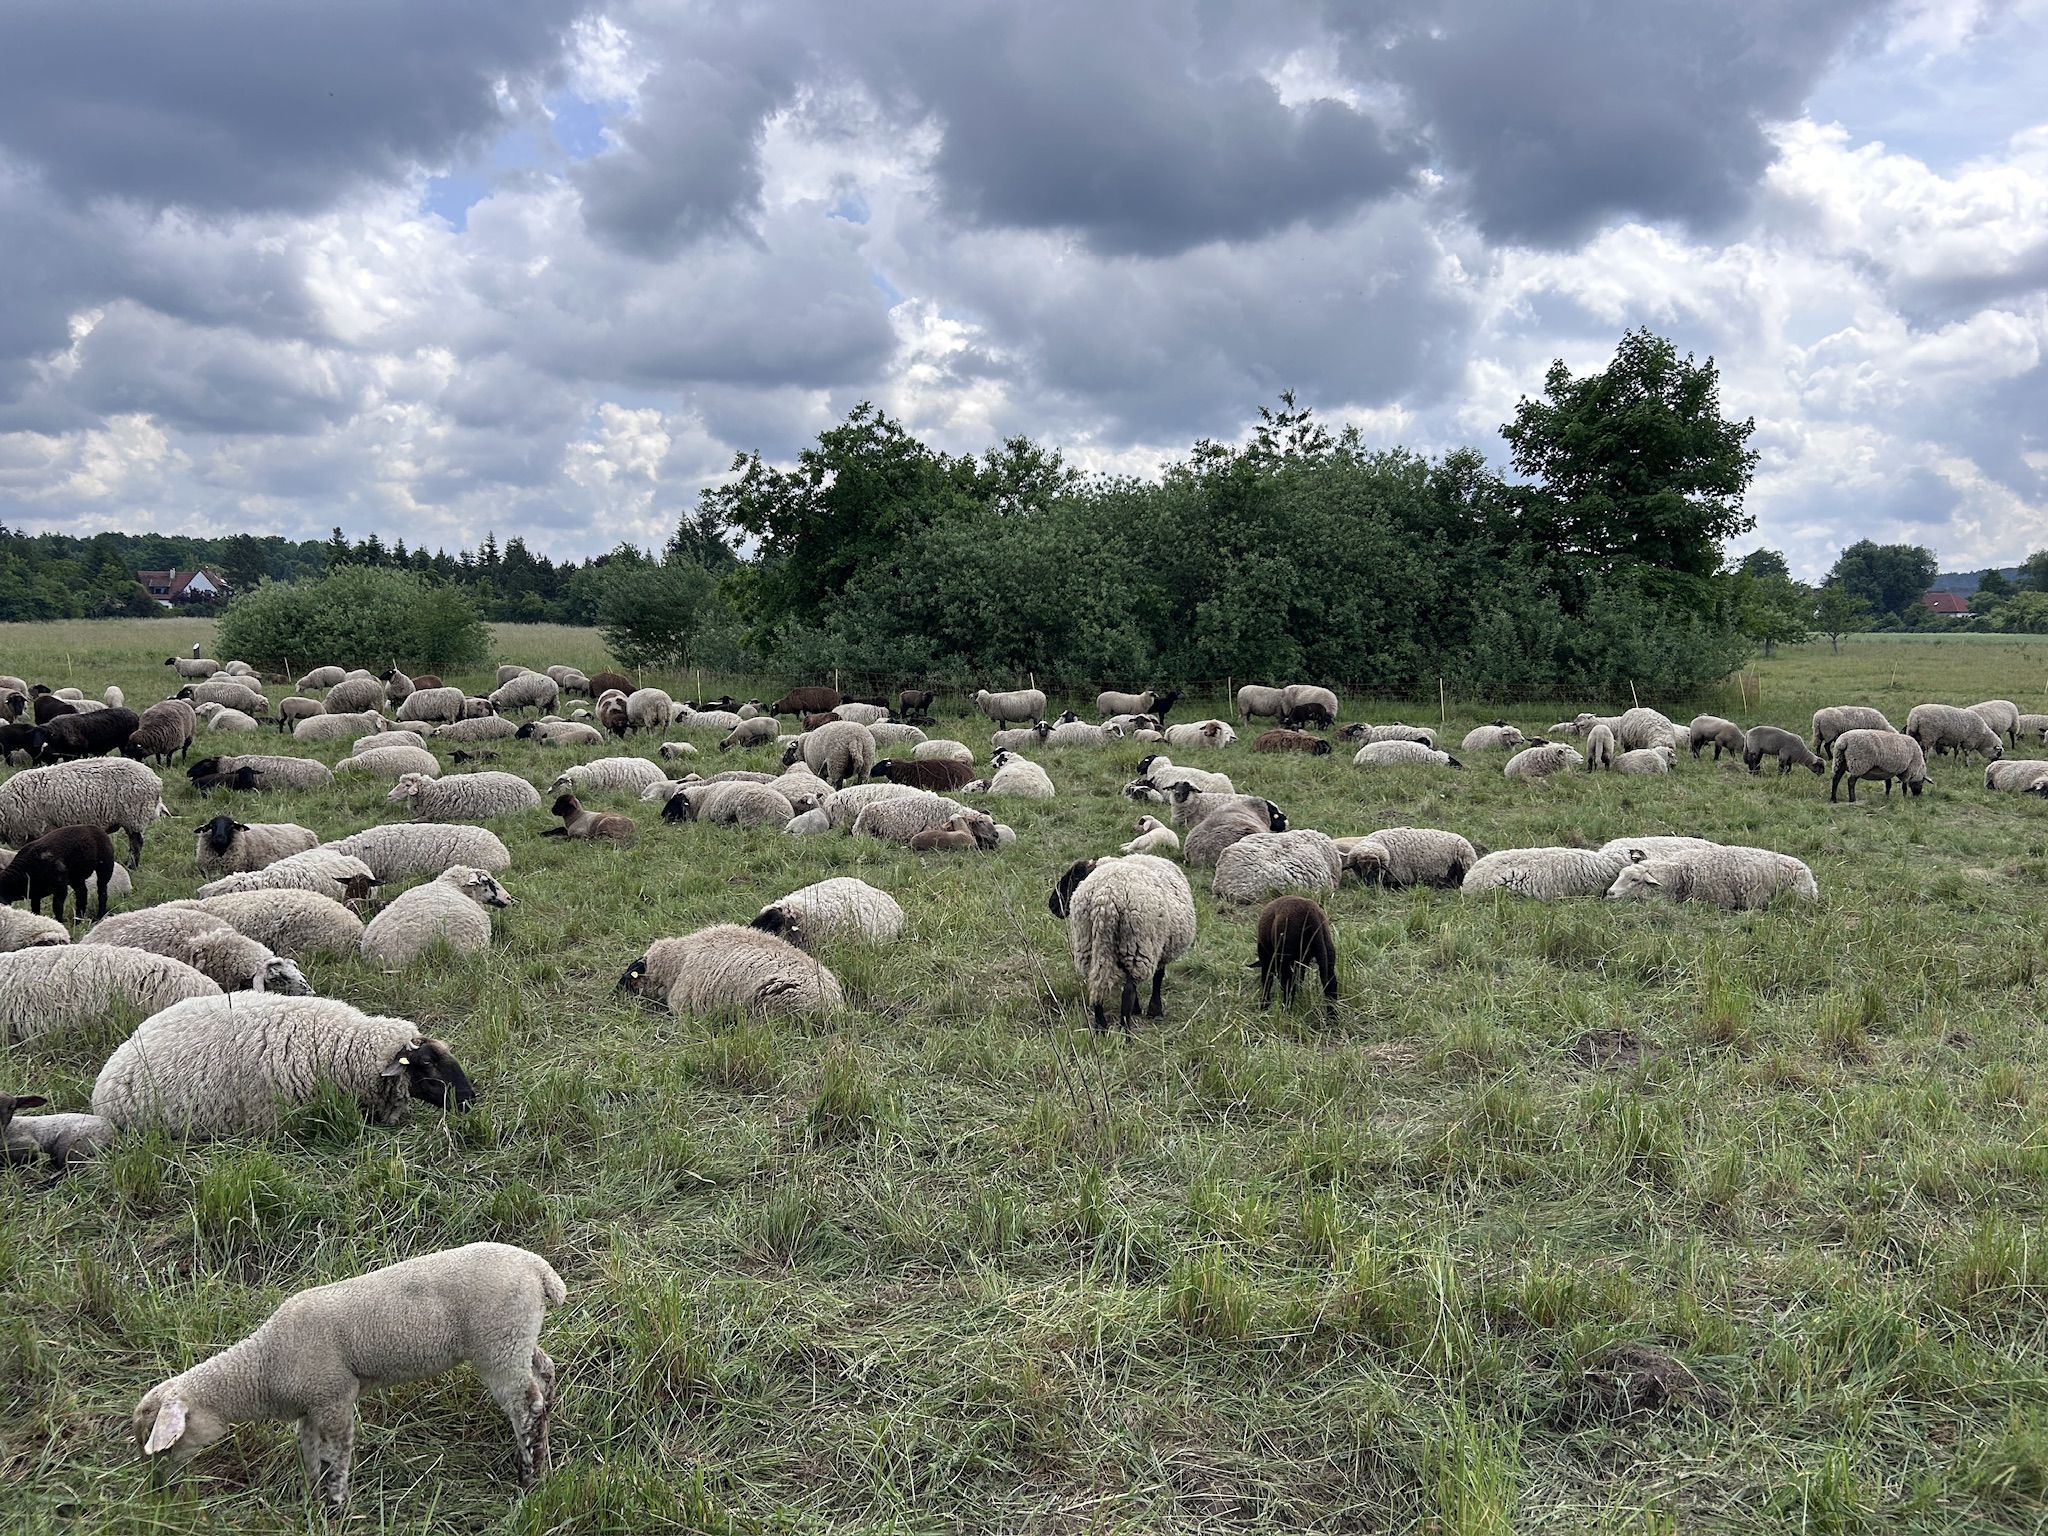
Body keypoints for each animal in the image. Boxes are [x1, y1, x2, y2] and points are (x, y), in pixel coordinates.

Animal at [130, 1242, 561, 1515]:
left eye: (164, 1442)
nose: (158, 1489)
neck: (263, 1366)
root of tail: (539, 1270)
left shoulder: (333, 1398)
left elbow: (336, 1454)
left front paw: (336, 1505)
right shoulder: (309, 1407)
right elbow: (308, 1451)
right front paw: (311, 1499)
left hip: (499, 1344)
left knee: (526, 1405)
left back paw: (530, 1476)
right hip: (518, 1337)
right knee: (544, 1372)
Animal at [1047, 854, 1196, 1031]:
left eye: (1074, 878)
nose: (1052, 904)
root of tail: (1105, 899)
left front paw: (1142, 1009)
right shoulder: (1160, 947)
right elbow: (1158, 978)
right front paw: (1154, 1011)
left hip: (1092, 944)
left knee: (1097, 986)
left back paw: (1101, 1027)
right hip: (1138, 944)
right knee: (1128, 992)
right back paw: (1126, 1031)